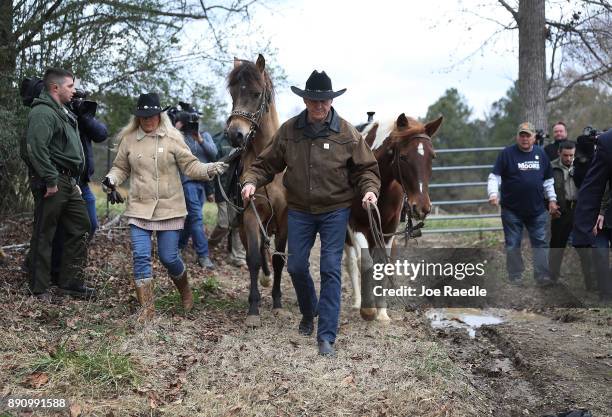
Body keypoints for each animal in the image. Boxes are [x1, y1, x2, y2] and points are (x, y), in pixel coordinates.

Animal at [344, 114, 440, 322]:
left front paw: (382, 313)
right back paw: (357, 302)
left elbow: (384, 265)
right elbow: (365, 261)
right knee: (352, 263)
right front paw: (368, 310)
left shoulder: (388, 230)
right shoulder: (356, 225)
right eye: (403, 157)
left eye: (432, 156)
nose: (422, 207)